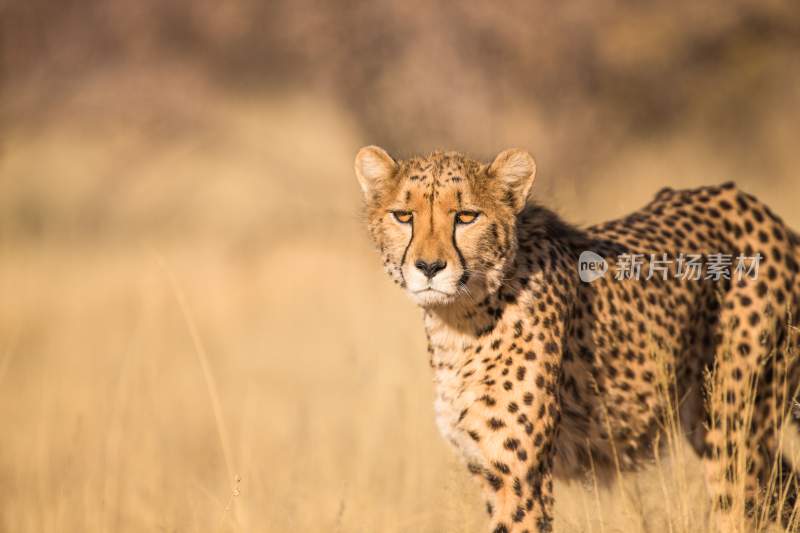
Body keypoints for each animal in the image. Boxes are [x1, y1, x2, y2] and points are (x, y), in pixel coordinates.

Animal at [354, 147, 800, 532]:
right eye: (403, 215)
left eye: (465, 216)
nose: (429, 267)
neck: (459, 320)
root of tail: (755, 207)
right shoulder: (488, 470)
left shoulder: (520, 478)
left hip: (734, 430)